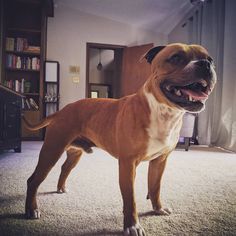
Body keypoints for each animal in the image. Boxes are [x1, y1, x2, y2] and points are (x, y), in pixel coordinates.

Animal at [23, 43, 216, 235]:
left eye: (210, 59)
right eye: (176, 57)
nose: (205, 64)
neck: (163, 112)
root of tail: (62, 110)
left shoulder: (160, 161)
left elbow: (155, 187)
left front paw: (158, 209)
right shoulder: (128, 164)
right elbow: (130, 199)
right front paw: (132, 226)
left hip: (74, 153)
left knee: (64, 168)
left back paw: (61, 188)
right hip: (51, 151)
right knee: (33, 180)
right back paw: (31, 210)